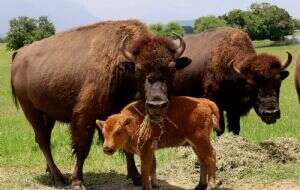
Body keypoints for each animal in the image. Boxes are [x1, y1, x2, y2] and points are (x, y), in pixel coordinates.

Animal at [11, 19, 191, 190]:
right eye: (138, 69)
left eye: (172, 69)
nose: (157, 103)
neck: (121, 67)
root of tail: (19, 53)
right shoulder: (84, 117)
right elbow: (82, 148)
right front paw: (77, 182)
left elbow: (127, 147)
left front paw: (137, 177)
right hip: (31, 111)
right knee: (43, 140)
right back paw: (59, 179)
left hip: (48, 115)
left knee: (44, 139)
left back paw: (50, 171)